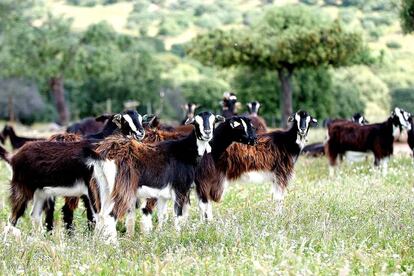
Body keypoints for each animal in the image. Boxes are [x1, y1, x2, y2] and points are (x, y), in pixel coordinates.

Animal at [2, 110, 146, 237]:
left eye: (140, 118)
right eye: (124, 121)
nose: (141, 133)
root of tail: (15, 156)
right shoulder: (92, 189)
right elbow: (97, 215)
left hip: (41, 192)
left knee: (35, 214)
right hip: (22, 189)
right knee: (14, 216)